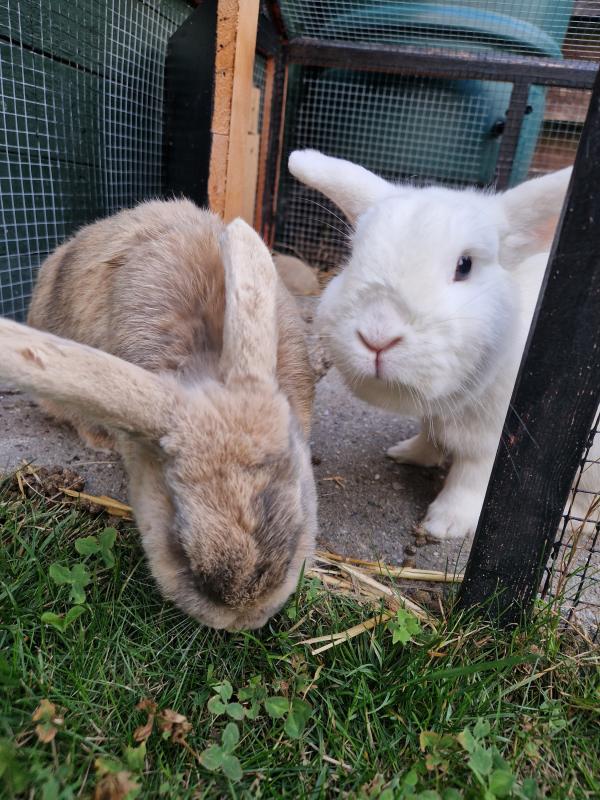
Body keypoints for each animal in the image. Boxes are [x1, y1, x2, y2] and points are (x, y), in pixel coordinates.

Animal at [288, 149, 596, 541]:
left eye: (465, 265)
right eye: (354, 255)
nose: (377, 337)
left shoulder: (495, 438)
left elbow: (472, 476)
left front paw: (445, 524)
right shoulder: (435, 416)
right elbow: (429, 436)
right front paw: (407, 454)